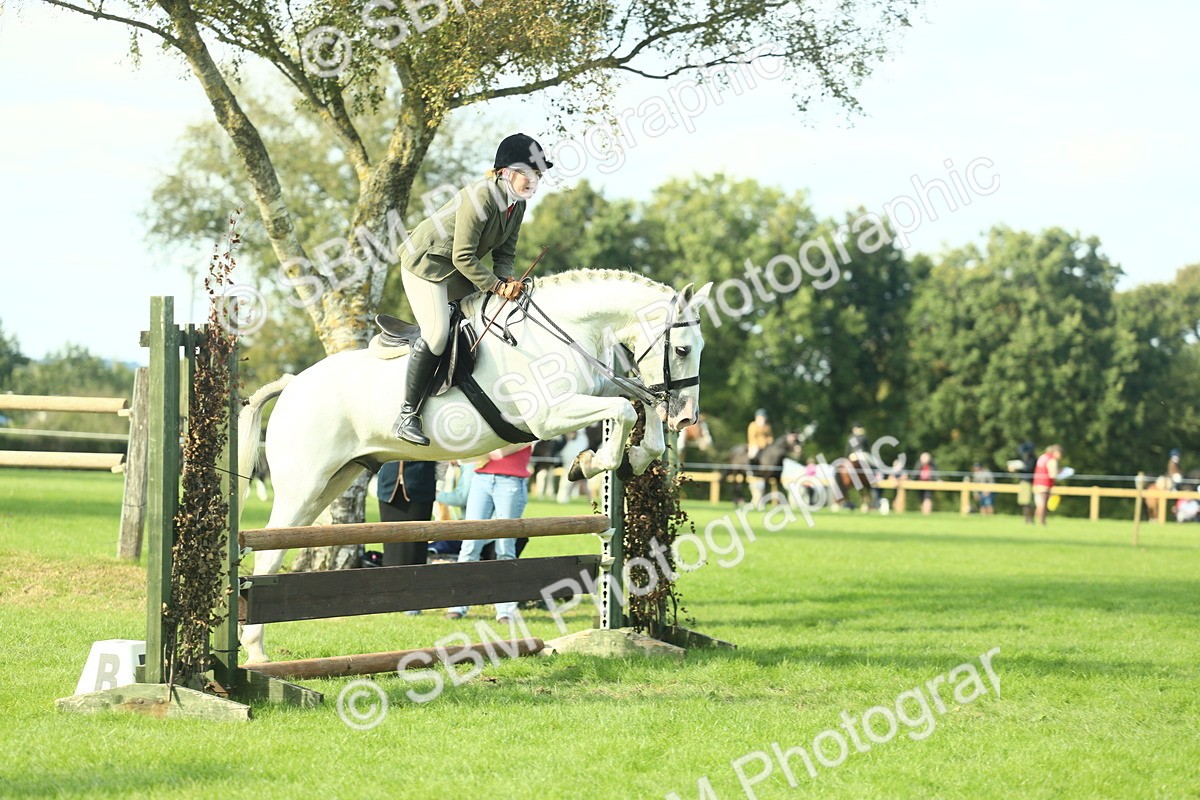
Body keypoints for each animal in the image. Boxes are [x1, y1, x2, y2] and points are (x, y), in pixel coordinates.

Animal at [236, 270, 712, 662]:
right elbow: (627, 409)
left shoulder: (600, 388)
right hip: (303, 483)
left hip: (333, 482)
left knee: (277, 551)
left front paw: (629, 458)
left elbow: (638, 405)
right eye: (683, 349)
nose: (687, 418)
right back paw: (255, 652)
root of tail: (292, 384)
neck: (564, 333)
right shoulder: (550, 416)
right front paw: (593, 462)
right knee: (266, 551)